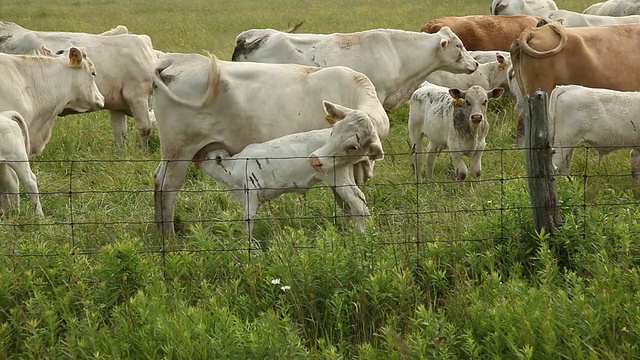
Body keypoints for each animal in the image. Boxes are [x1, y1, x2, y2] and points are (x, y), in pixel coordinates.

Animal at [198, 100, 382, 236]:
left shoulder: (252, 190)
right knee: (356, 201)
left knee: (357, 203)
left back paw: (362, 235)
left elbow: (247, 220)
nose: (197, 158)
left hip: (338, 176)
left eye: (207, 157)